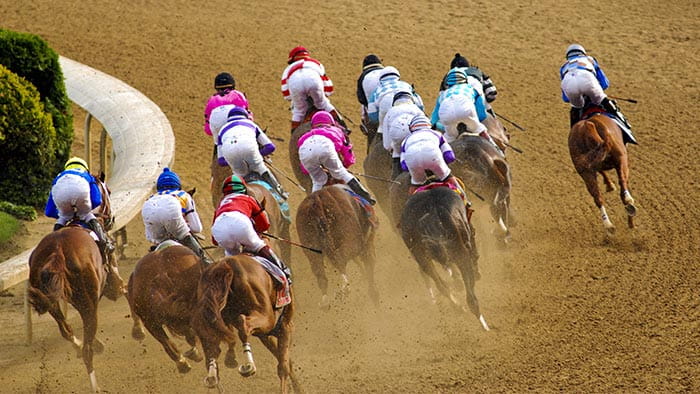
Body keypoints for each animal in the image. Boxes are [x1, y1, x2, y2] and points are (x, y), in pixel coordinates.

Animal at [27, 173, 117, 394]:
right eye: (108, 192)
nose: (111, 219)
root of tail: (58, 250)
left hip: (50, 299)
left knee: (66, 330)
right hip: (88, 303)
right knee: (87, 350)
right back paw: (95, 386)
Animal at [191, 255, 300, 394]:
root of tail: (225, 265)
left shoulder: (266, 335)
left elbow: (284, 361)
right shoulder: (285, 327)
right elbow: (284, 366)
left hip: (210, 317)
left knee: (211, 345)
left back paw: (216, 372)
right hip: (265, 316)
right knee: (243, 323)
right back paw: (248, 366)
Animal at [402, 186, 490, 330]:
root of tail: (430, 212)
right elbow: (474, 254)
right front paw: (477, 273)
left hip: (421, 256)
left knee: (441, 286)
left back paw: (458, 307)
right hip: (460, 252)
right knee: (471, 297)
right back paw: (485, 327)